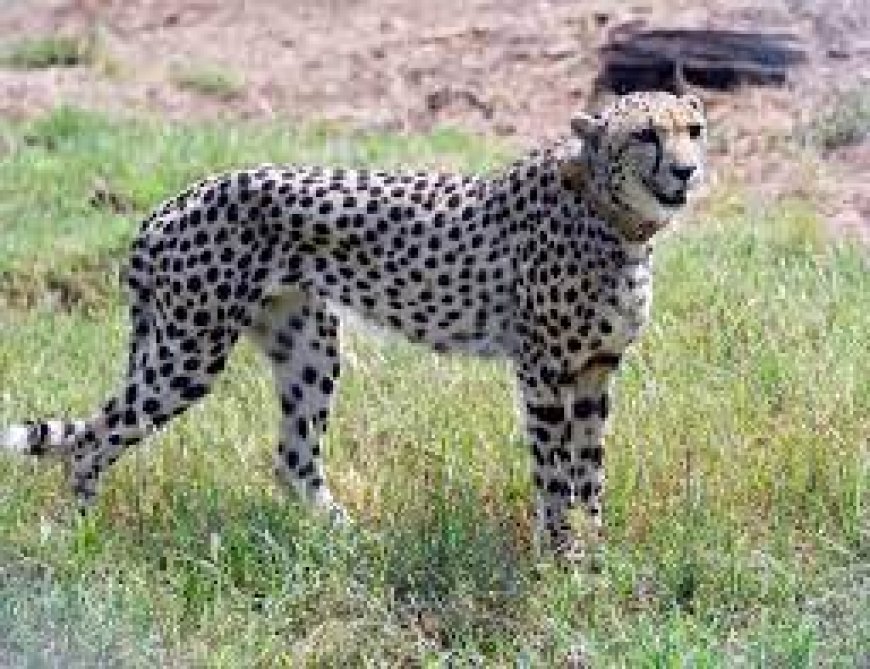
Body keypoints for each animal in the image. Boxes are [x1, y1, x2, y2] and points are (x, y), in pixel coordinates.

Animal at [1, 91, 708, 556]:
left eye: (694, 129)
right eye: (646, 135)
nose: (687, 169)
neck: (614, 218)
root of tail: (170, 202)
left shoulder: (594, 370)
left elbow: (591, 471)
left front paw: (595, 555)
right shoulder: (542, 370)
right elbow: (555, 473)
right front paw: (562, 559)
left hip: (308, 347)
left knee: (292, 456)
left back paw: (349, 541)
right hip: (188, 353)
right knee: (93, 440)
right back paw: (79, 535)